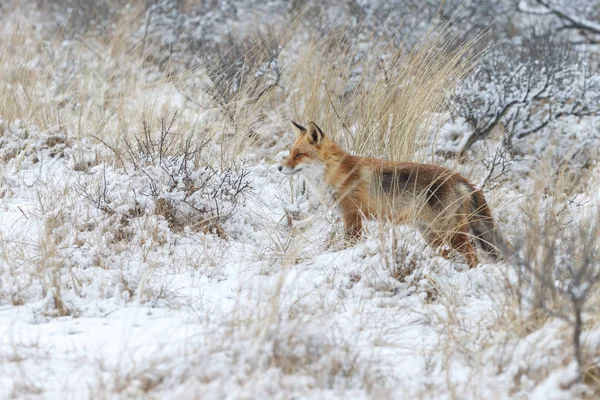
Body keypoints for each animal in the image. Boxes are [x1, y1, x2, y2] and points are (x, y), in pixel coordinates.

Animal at [276, 120, 506, 268]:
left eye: (299, 154)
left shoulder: (352, 216)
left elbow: (349, 244)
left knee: (473, 255)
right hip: (432, 235)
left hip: (451, 233)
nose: (279, 168)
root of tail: (460, 177)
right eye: (290, 153)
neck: (335, 173)